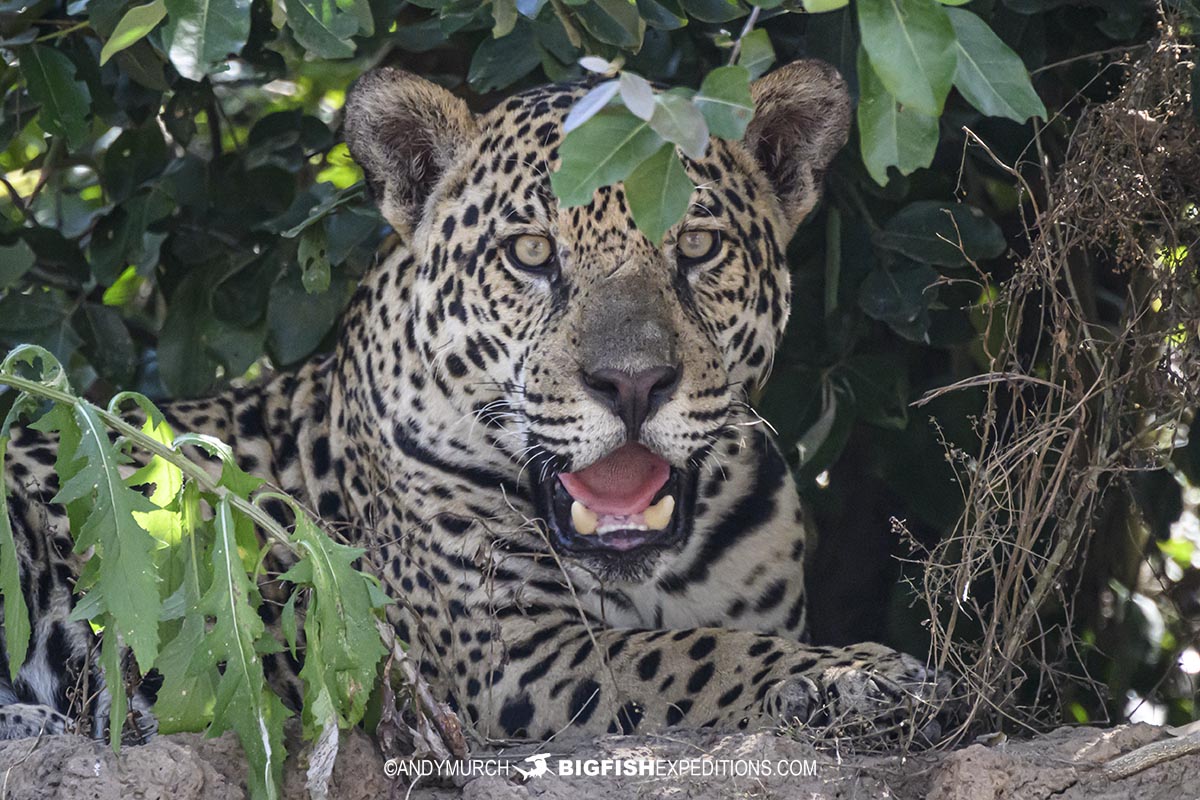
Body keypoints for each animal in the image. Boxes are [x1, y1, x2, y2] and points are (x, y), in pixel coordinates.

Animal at [0, 59, 954, 747]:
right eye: (531, 253)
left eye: (698, 246)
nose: (633, 383)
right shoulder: (513, 661)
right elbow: (693, 654)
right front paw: (856, 673)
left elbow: (724, 637)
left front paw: (844, 673)